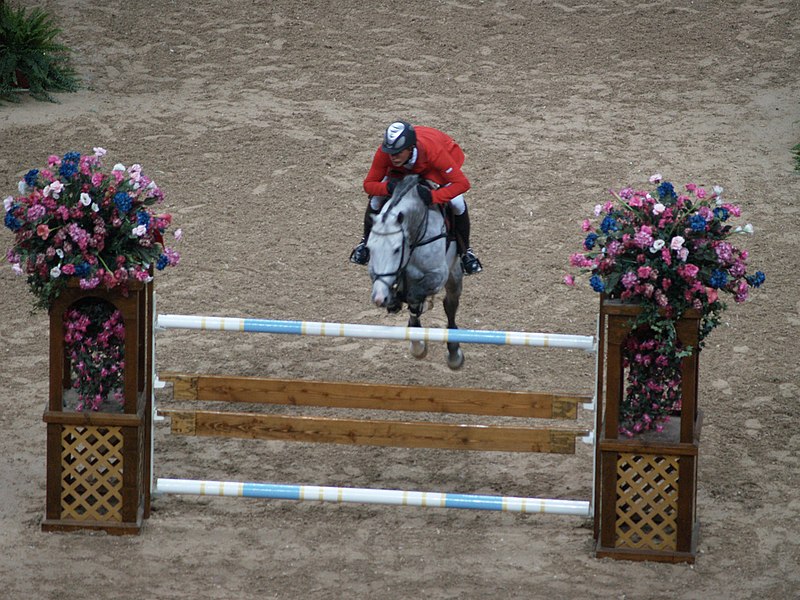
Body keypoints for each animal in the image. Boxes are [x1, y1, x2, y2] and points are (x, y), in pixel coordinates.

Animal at [366, 175, 466, 370]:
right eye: (369, 248)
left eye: (397, 249)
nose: (379, 299)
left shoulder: (437, 275)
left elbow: (414, 298)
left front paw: (418, 345)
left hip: (454, 274)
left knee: (450, 305)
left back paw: (454, 353)